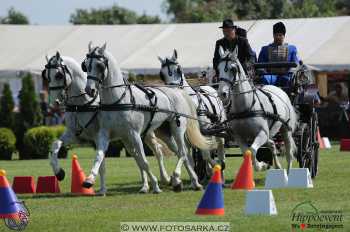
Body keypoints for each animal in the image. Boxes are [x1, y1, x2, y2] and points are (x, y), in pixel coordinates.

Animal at [41, 52, 106, 194]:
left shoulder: (98, 137)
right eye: (46, 76)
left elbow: (101, 162)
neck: (81, 104)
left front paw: (97, 186)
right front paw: (59, 172)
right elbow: (55, 145)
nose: (53, 103)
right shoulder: (75, 135)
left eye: (59, 75)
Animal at [83, 42, 217, 193]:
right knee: (181, 153)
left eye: (100, 65)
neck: (119, 100)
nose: (89, 90)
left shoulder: (134, 135)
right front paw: (89, 179)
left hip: (177, 128)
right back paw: (192, 181)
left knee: (183, 152)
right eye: (85, 65)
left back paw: (179, 177)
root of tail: (177, 90)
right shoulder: (108, 135)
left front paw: (156, 185)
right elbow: (100, 156)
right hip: (165, 133)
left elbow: (144, 162)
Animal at [158, 49, 227, 181]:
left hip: (218, 128)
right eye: (162, 74)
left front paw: (214, 168)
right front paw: (194, 177)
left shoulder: (205, 132)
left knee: (220, 146)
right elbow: (188, 157)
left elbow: (206, 154)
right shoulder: (185, 137)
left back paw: (221, 170)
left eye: (178, 69)